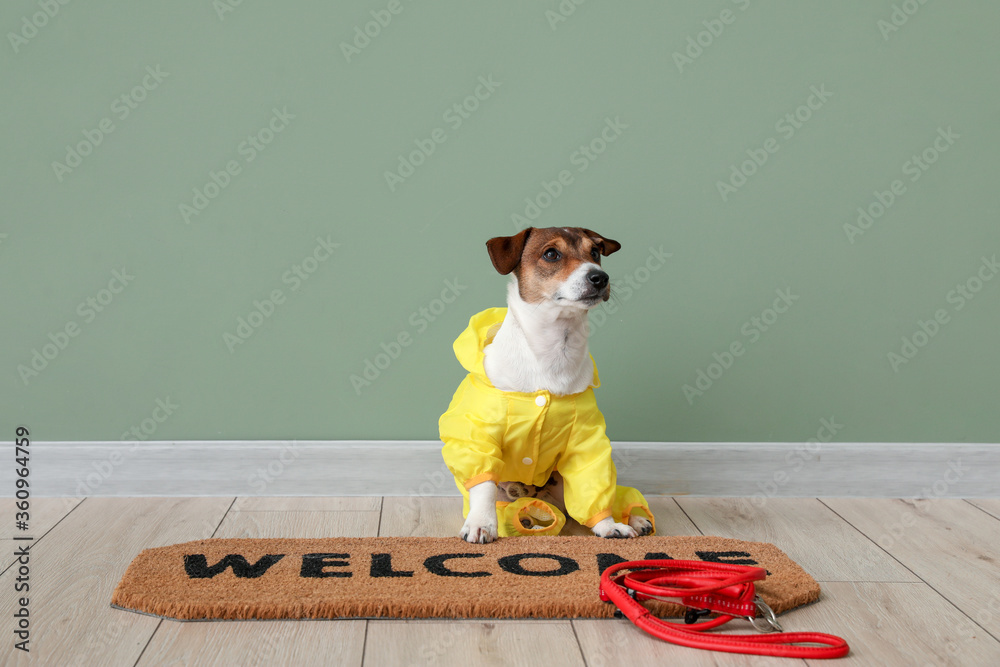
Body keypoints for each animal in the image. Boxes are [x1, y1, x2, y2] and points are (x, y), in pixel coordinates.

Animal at [438, 228, 656, 544]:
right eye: (551, 254)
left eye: (595, 252)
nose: (600, 277)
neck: (553, 350)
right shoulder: (478, 435)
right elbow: (483, 484)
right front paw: (481, 523)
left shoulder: (587, 443)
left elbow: (593, 484)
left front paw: (607, 525)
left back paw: (634, 518)